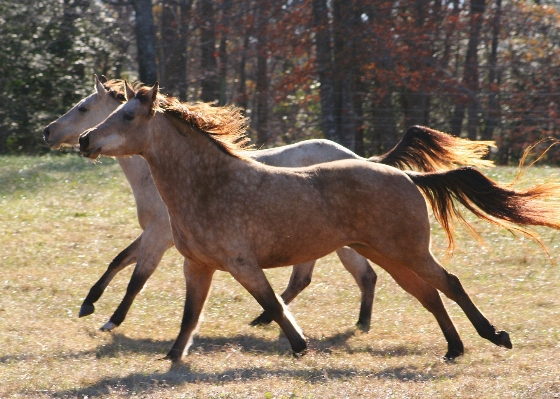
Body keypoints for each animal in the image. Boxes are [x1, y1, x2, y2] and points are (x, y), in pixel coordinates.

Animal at [80, 83, 560, 364]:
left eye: (126, 116)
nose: (85, 140)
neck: (209, 184)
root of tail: (408, 176)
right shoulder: (196, 266)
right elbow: (188, 317)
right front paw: (171, 358)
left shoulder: (240, 264)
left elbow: (273, 303)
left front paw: (299, 345)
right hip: (385, 254)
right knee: (428, 294)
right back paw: (454, 349)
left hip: (407, 251)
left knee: (450, 284)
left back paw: (494, 337)